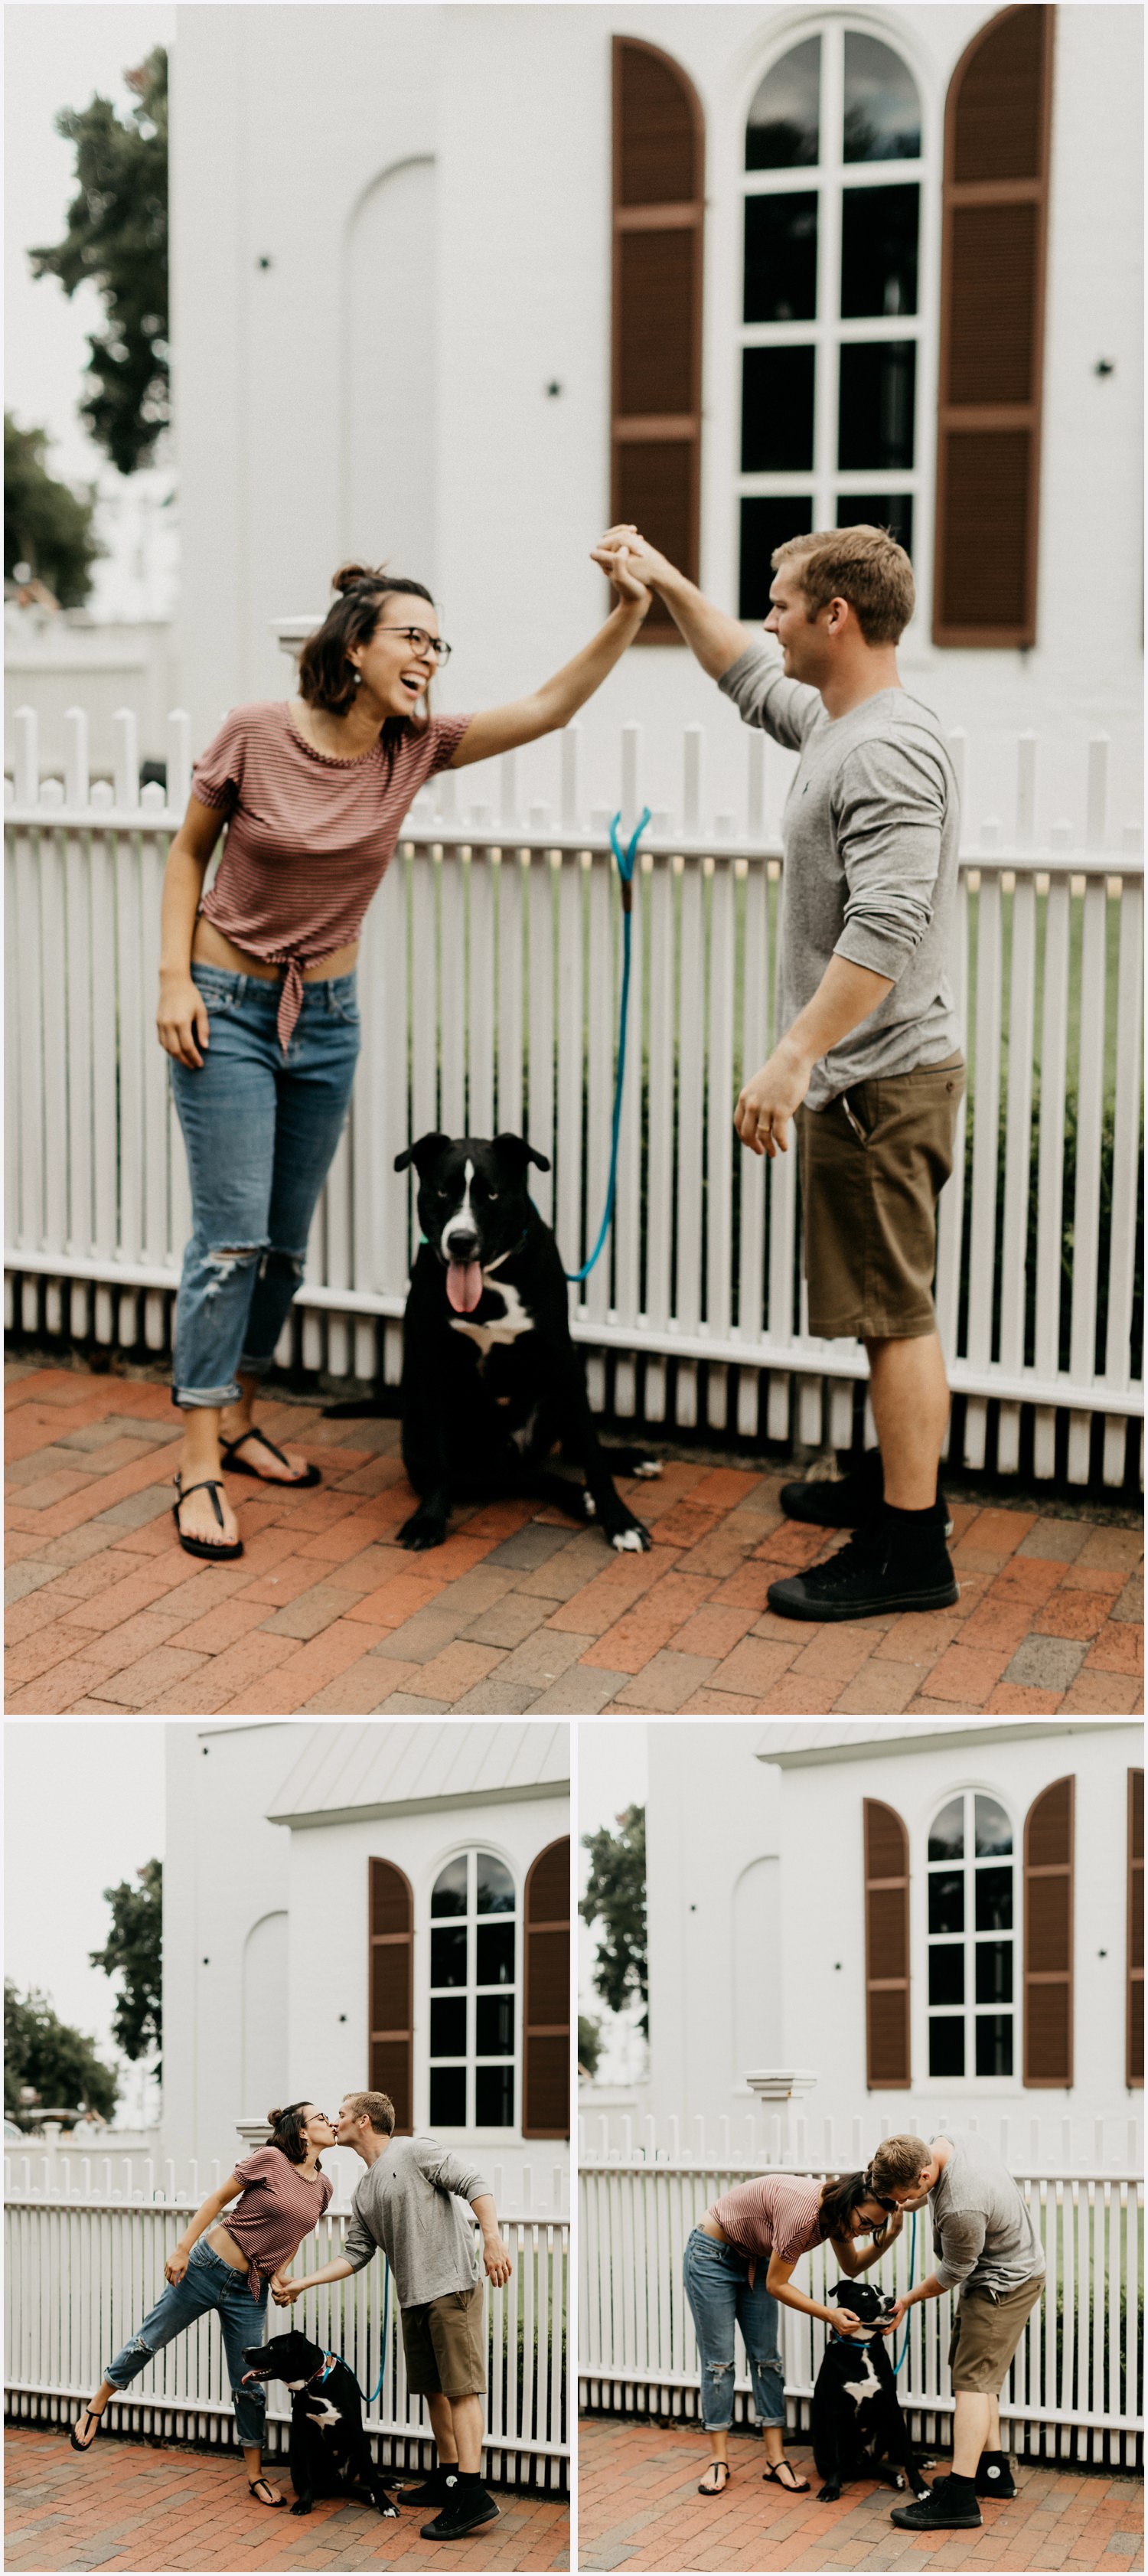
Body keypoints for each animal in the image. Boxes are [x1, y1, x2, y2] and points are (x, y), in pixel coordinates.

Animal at [239, 2328, 401, 2524]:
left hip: (363, 2446)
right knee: (341, 2487)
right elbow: (308, 2480)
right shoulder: (302, 2435)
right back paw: (366, 2495)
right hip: (305, 2464)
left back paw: (388, 2483)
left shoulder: (357, 2434)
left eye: (271, 2347)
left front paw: (386, 2505)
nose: (244, 2351)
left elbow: (372, 2476)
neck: (315, 2383)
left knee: (362, 2478)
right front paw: (304, 2503)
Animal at [327, 1138, 658, 1556]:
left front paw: (620, 1521)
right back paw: (577, 1498)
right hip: (453, 1449)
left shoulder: (563, 1363)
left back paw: (629, 1462)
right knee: (521, 1477)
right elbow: (439, 1462)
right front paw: (429, 1519)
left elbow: (593, 1457)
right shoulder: (434, 1368)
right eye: (442, 1192)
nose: (460, 1241)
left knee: (571, 1448)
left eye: (492, 1194)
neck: (490, 1282)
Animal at [808, 2287, 931, 2503]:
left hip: (887, 2424)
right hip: (833, 2458)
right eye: (865, 2293)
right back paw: (894, 2478)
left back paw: (922, 2461)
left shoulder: (892, 2407)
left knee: (894, 2456)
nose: (891, 2299)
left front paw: (920, 2487)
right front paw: (831, 2487)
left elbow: (907, 2454)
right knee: (867, 2468)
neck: (862, 2346)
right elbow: (835, 2461)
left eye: (881, 2291)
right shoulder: (834, 2412)